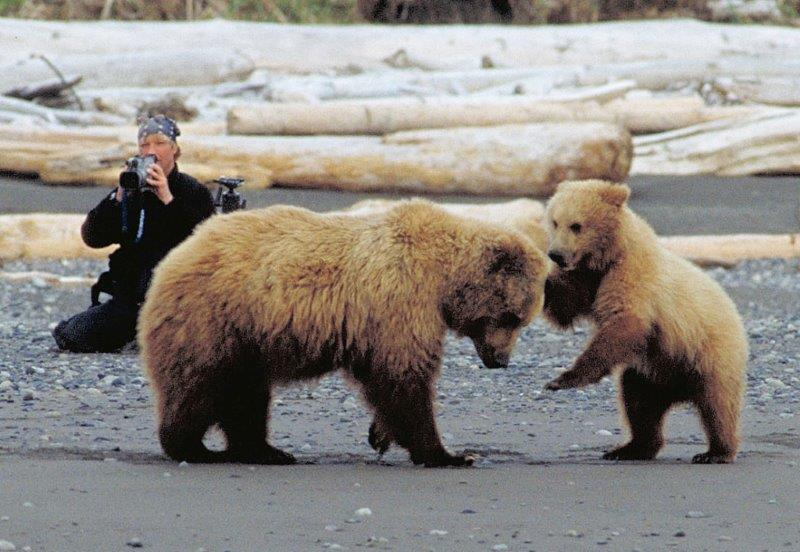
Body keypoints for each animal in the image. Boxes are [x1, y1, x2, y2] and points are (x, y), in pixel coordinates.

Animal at [138, 199, 548, 467]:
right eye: (511, 317)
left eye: (523, 320)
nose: (500, 360)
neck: (442, 278)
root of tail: (172, 258)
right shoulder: (399, 300)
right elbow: (404, 377)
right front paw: (446, 454)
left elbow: (385, 381)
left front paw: (380, 434)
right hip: (216, 319)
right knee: (202, 385)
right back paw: (192, 447)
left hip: (247, 337)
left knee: (246, 395)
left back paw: (267, 451)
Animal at [541, 179, 748, 464]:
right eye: (554, 221)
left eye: (576, 225)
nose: (556, 254)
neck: (609, 254)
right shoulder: (586, 279)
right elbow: (564, 307)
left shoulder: (632, 275)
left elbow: (626, 322)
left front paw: (563, 379)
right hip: (653, 372)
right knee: (638, 402)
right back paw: (630, 448)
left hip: (708, 355)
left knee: (717, 404)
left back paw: (716, 452)